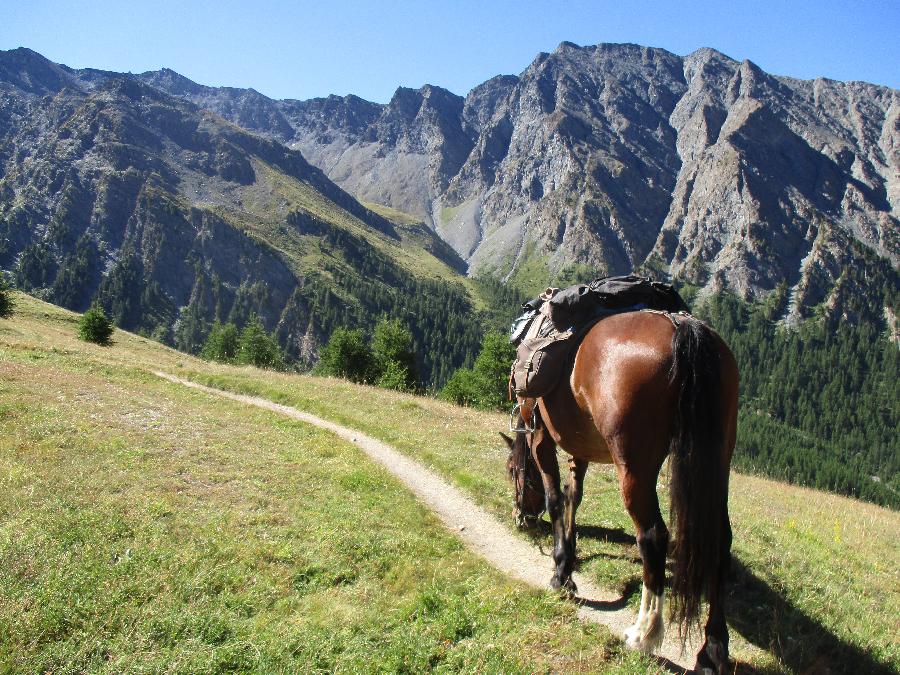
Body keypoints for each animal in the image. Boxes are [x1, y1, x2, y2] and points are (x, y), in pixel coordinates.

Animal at [500, 312, 740, 675]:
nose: (521, 518)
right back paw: (712, 649)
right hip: (717, 462)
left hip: (634, 465)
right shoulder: (580, 444)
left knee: (653, 535)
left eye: (512, 471)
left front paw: (560, 572)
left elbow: (555, 498)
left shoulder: (539, 435)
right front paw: (569, 559)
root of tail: (681, 326)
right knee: (719, 541)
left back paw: (644, 633)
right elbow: (574, 495)